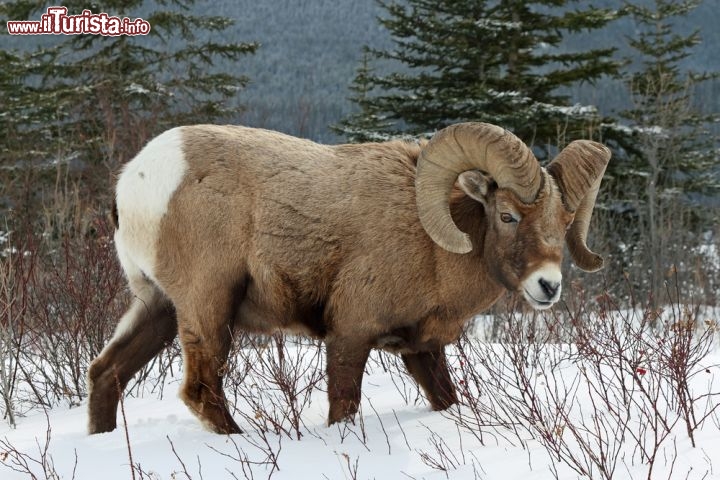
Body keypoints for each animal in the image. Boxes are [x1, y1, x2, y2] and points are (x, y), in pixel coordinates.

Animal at [87, 121, 612, 436]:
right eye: (506, 215)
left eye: (565, 221)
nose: (548, 286)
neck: (432, 247)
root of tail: (135, 181)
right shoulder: (350, 335)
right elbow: (344, 404)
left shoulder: (422, 348)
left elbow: (446, 398)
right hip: (208, 306)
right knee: (201, 390)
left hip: (157, 307)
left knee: (106, 372)